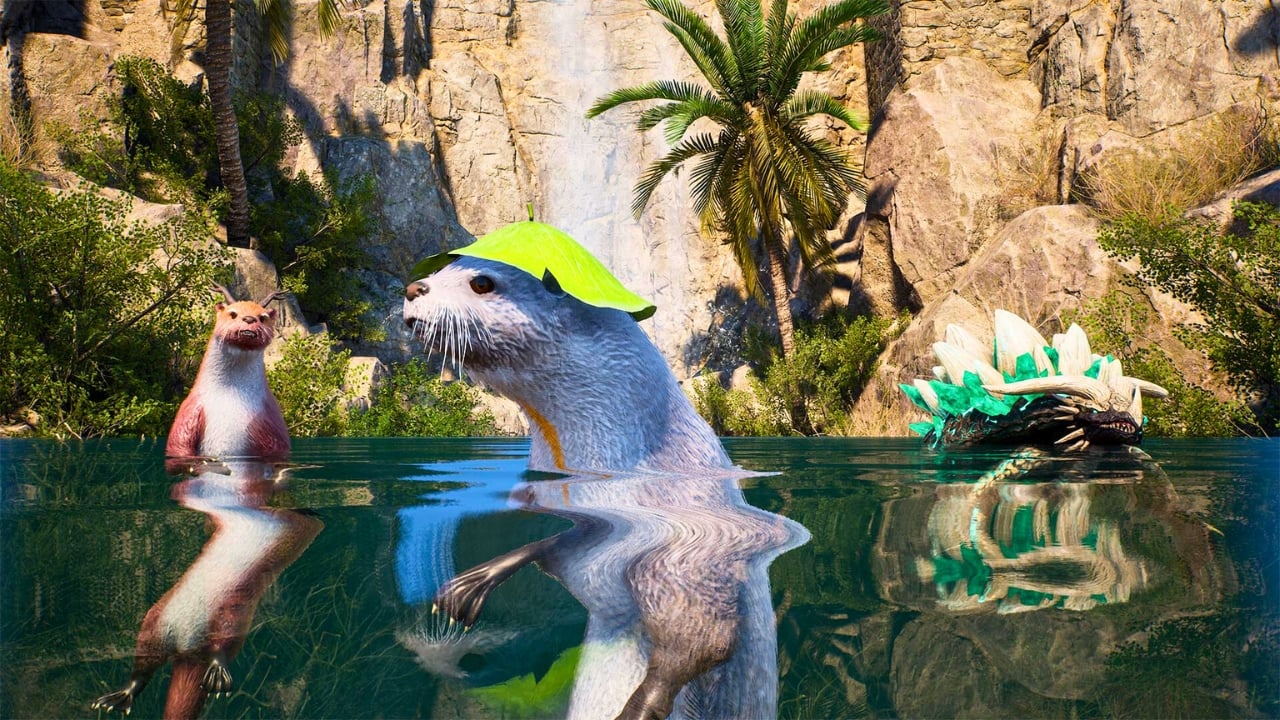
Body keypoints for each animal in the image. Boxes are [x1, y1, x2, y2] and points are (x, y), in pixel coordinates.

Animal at [166, 286, 290, 471]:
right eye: (233, 313)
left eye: (262, 317)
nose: (249, 318)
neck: (230, 394)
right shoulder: (190, 408)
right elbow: (178, 444)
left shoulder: (270, 415)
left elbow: (278, 447)